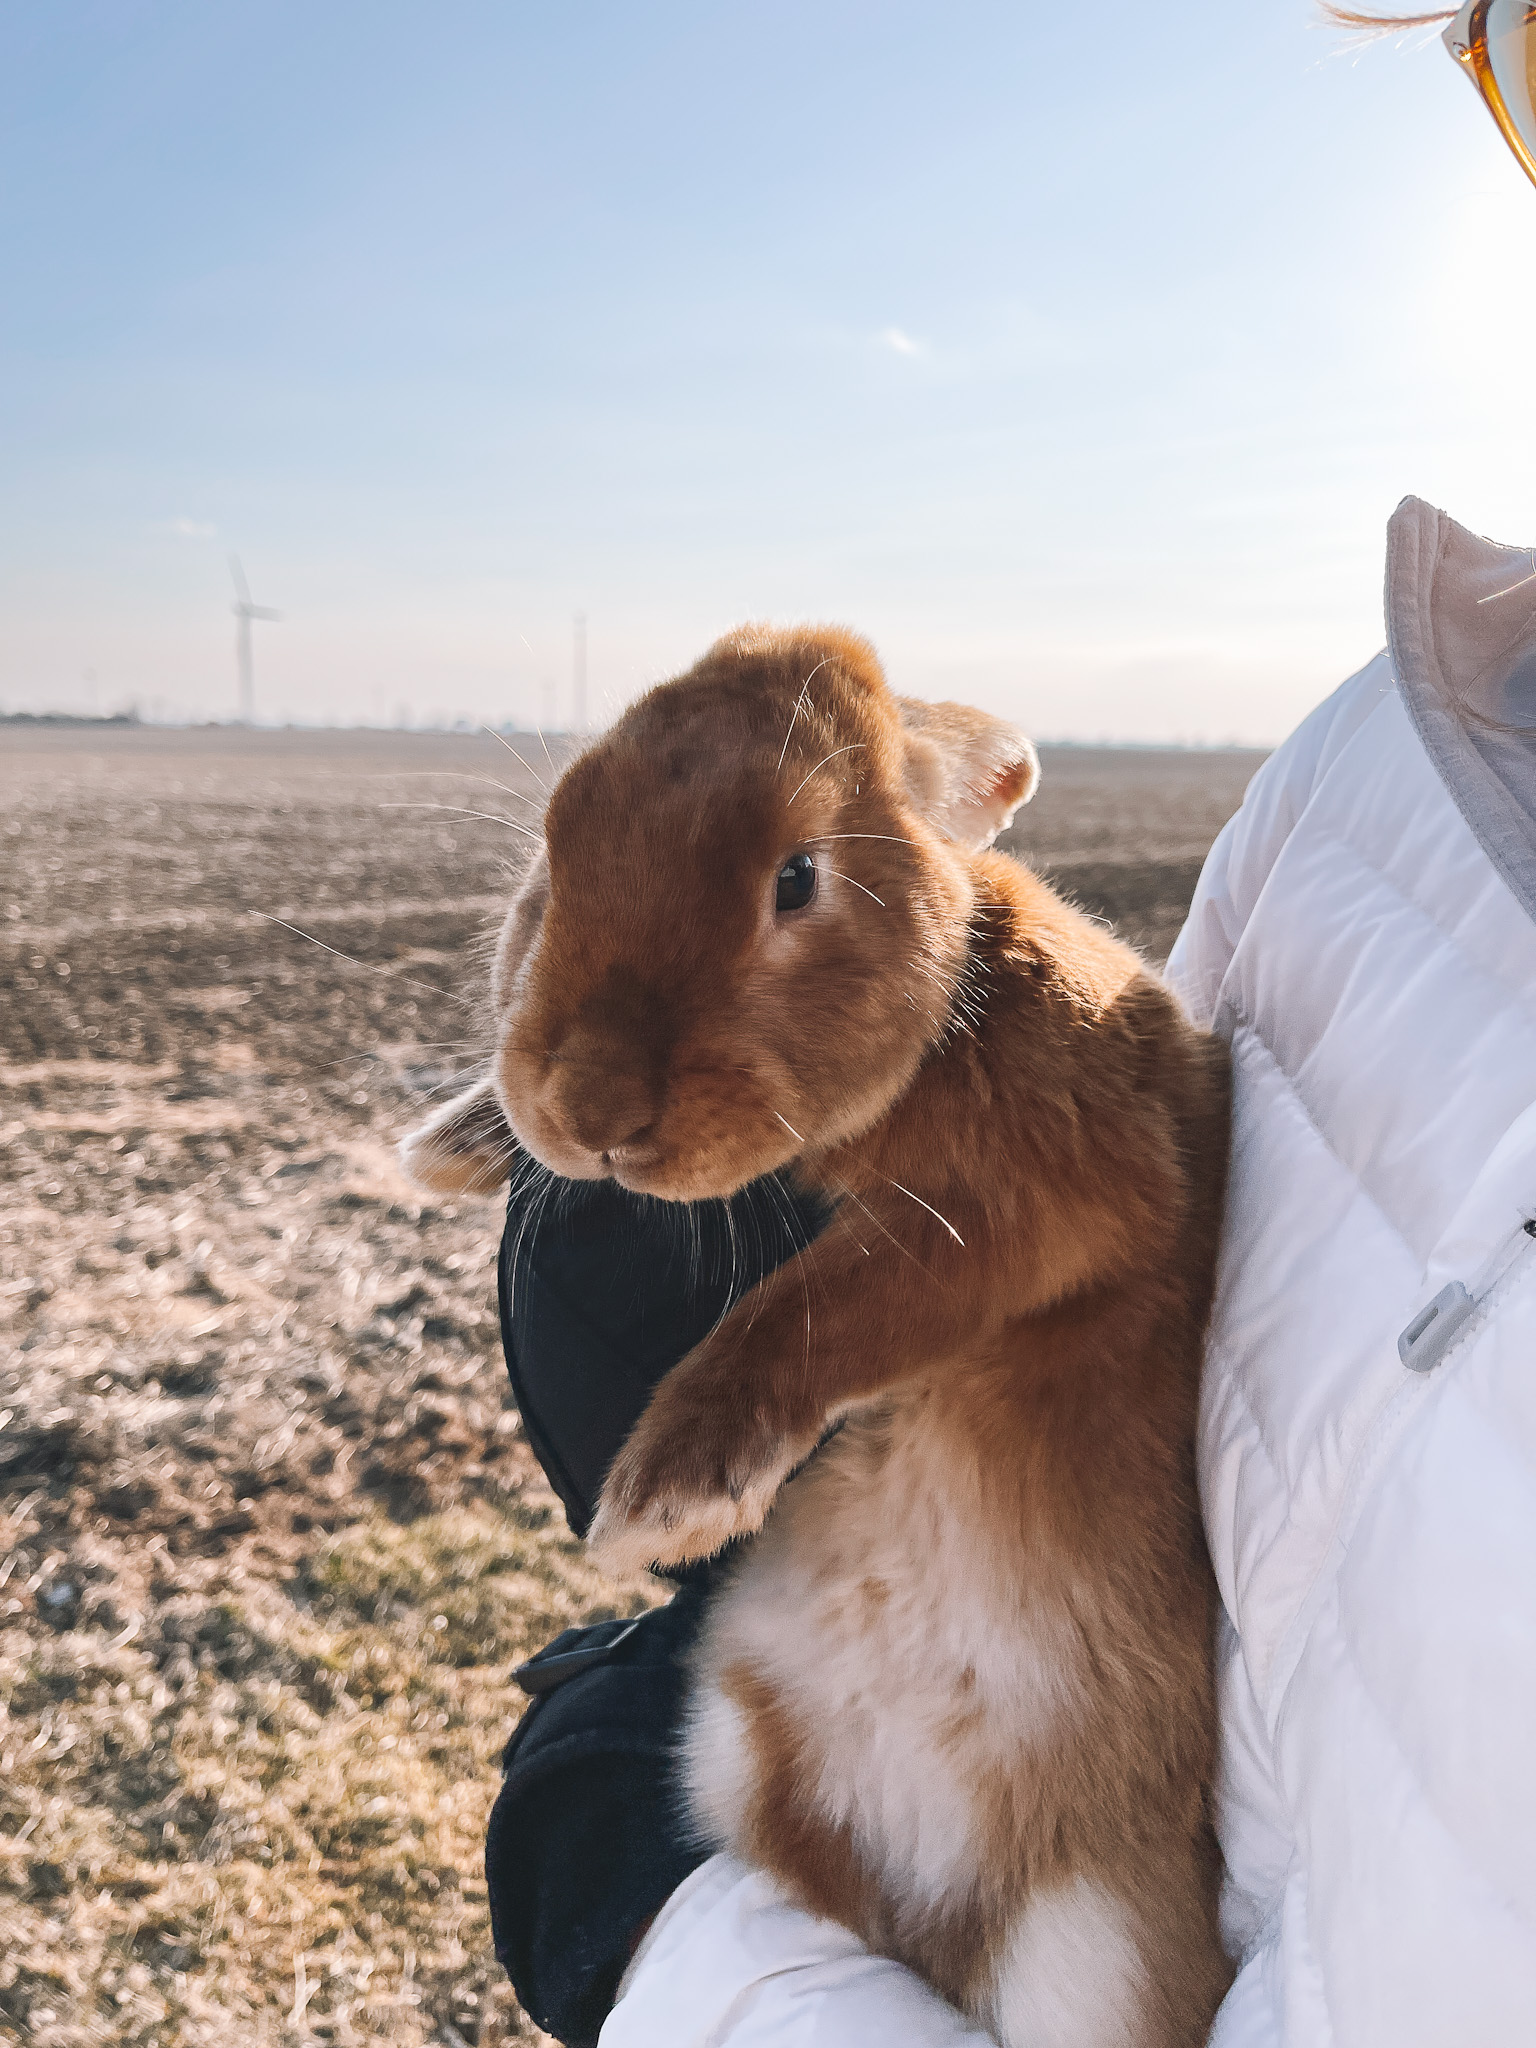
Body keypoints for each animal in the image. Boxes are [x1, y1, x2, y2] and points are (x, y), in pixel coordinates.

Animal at [403, 626, 1236, 2048]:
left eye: (798, 877)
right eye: (556, 843)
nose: (588, 1110)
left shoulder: (1047, 1200)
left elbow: (821, 1303)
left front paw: (669, 1497)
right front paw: (458, 1138)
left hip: (1095, 1960)